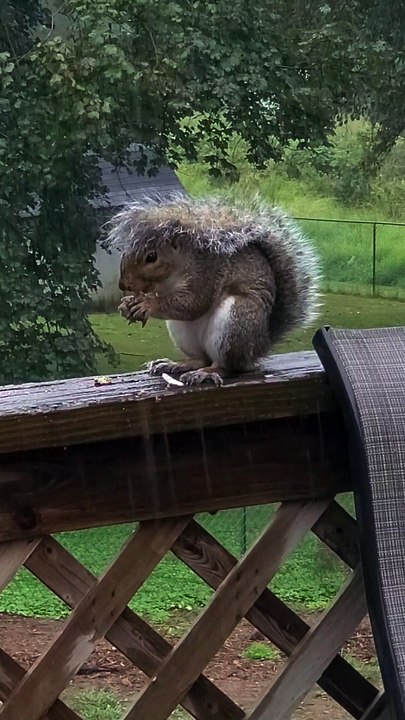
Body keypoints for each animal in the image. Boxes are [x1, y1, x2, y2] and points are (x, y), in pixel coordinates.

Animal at [106, 194, 321, 386]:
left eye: (152, 257)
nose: (123, 285)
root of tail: (260, 345)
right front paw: (126, 305)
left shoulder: (207, 273)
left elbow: (193, 304)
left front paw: (147, 304)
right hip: (181, 332)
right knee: (200, 359)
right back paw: (175, 364)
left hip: (237, 321)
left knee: (226, 366)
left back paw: (205, 374)